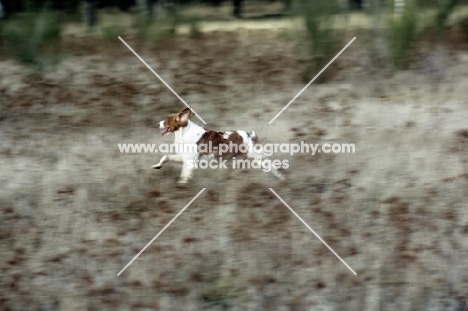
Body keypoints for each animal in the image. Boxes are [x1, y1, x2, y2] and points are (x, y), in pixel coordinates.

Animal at [154, 108, 286, 184]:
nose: (157, 124)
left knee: (273, 168)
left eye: (166, 120)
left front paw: (182, 185)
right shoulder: (183, 157)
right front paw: (157, 166)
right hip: (239, 160)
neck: (184, 132)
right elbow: (165, 157)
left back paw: (282, 180)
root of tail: (251, 135)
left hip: (259, 158)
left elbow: (184, 175)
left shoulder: (189, 161)